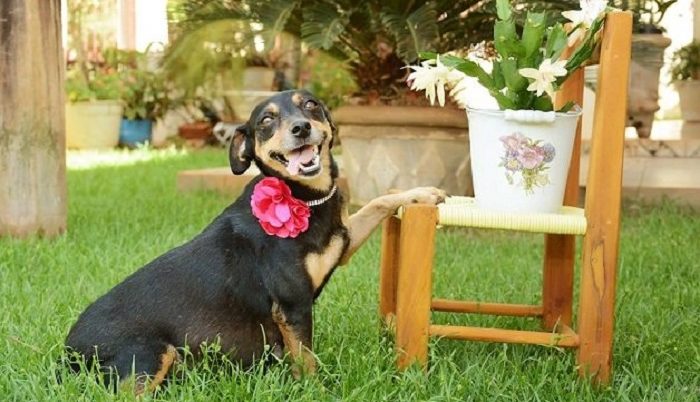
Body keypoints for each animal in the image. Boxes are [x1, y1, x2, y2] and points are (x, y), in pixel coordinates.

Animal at [63, 90, 446, 392]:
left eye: (310, 105)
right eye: (266, 120)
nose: (300, 128)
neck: (304, 198)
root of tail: (66, 356)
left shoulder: (342, 243)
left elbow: (380, 200)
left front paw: (421, 193)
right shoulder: (292, 305)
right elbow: (306, 360)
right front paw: (317, 391)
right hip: (149, 353)